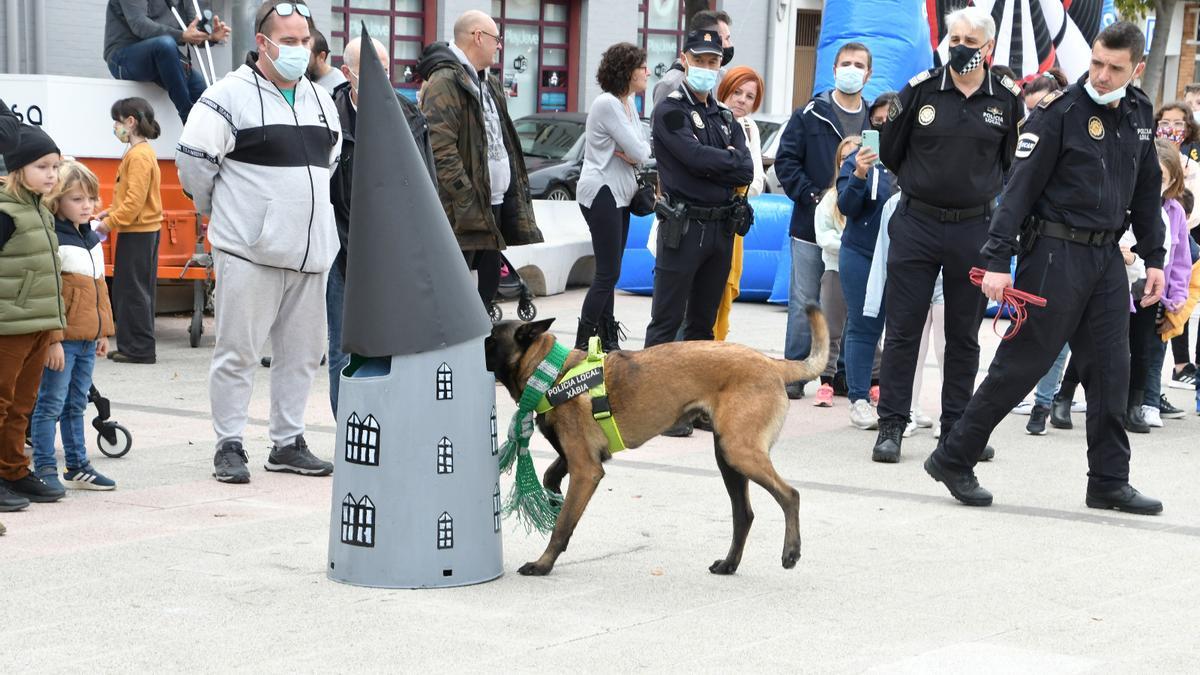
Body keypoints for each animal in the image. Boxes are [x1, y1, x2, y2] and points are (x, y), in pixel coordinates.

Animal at [482, 305, 830, 571]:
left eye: (491, 339)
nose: (473, 341)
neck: (550, 373)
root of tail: (772, 362)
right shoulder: (580, 458)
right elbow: (551, 477)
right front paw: (553, 500)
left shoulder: (586, 468)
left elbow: (563, 524)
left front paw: (543, 564)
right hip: (728, 458)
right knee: (743, 514)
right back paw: (729, 564)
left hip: (738, 452)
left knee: (790, 495)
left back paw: (791, 551)